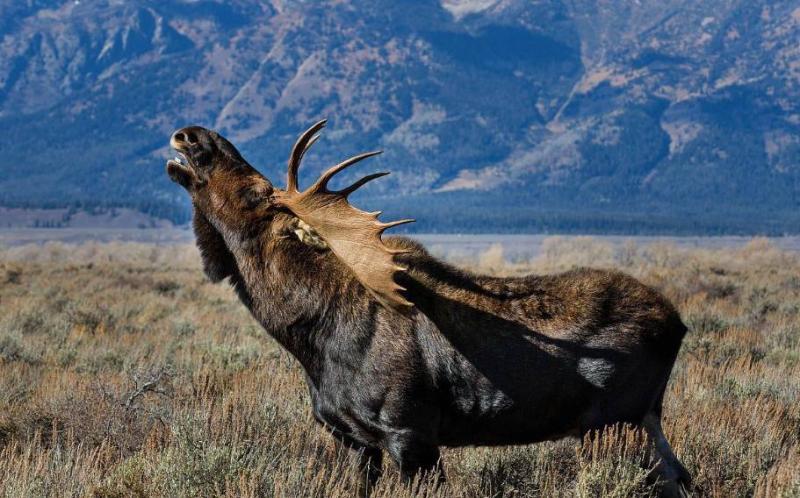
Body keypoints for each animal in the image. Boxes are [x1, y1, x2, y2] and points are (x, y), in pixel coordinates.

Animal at [166, 120, 692, 497]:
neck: (310, 336)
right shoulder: (357, 441)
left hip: (613, 424)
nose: (192, 134)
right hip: (645, 421)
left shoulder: (410, 432)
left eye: (257, 190)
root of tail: (678, 324)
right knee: (680, 478)